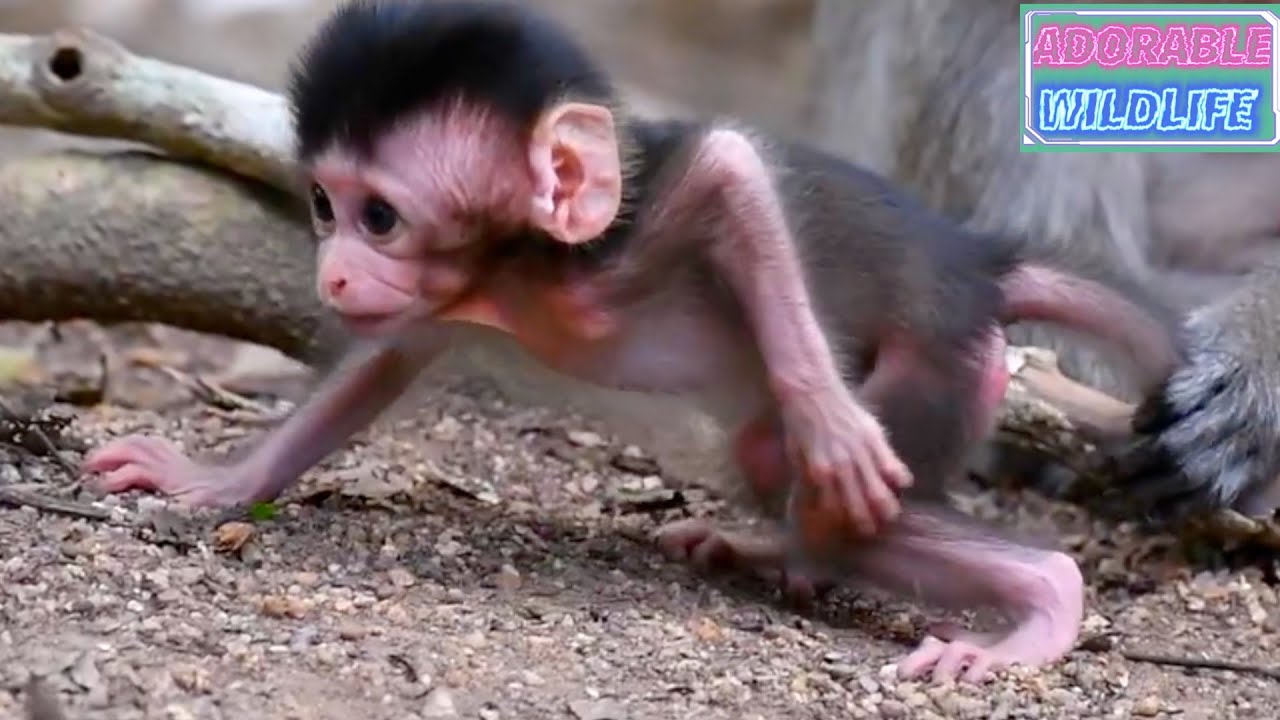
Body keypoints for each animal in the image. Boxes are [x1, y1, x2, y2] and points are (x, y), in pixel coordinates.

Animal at [79, 0, 1181, 682]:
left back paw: (1037, 599)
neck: (524, 268)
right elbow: (381, 360)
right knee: (772, 468)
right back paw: (771, 548)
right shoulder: (443, 296)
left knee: (829, 491)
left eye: (379, 217)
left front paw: (828, 416)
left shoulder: (629, 241)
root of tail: (979, 266)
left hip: (944, 361)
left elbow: (732, 166)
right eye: (324, 206)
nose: (336, 272)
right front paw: (214, 478)